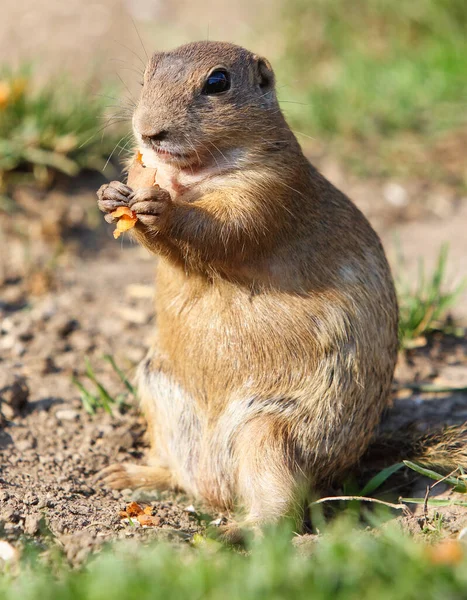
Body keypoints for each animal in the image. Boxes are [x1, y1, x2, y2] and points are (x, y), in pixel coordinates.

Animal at [97, 42, 400, 536]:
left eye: (217, 82)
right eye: (146, 76)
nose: (148, 132)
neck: (189, 174)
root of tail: (214, 491)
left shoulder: (269, 186)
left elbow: (226, 229)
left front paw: (162, 209)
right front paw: (109, 195)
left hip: (268, 434)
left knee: (284, 509)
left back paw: (233, 531)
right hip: (158, 393)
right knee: (178, 472)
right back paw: (123, 474)